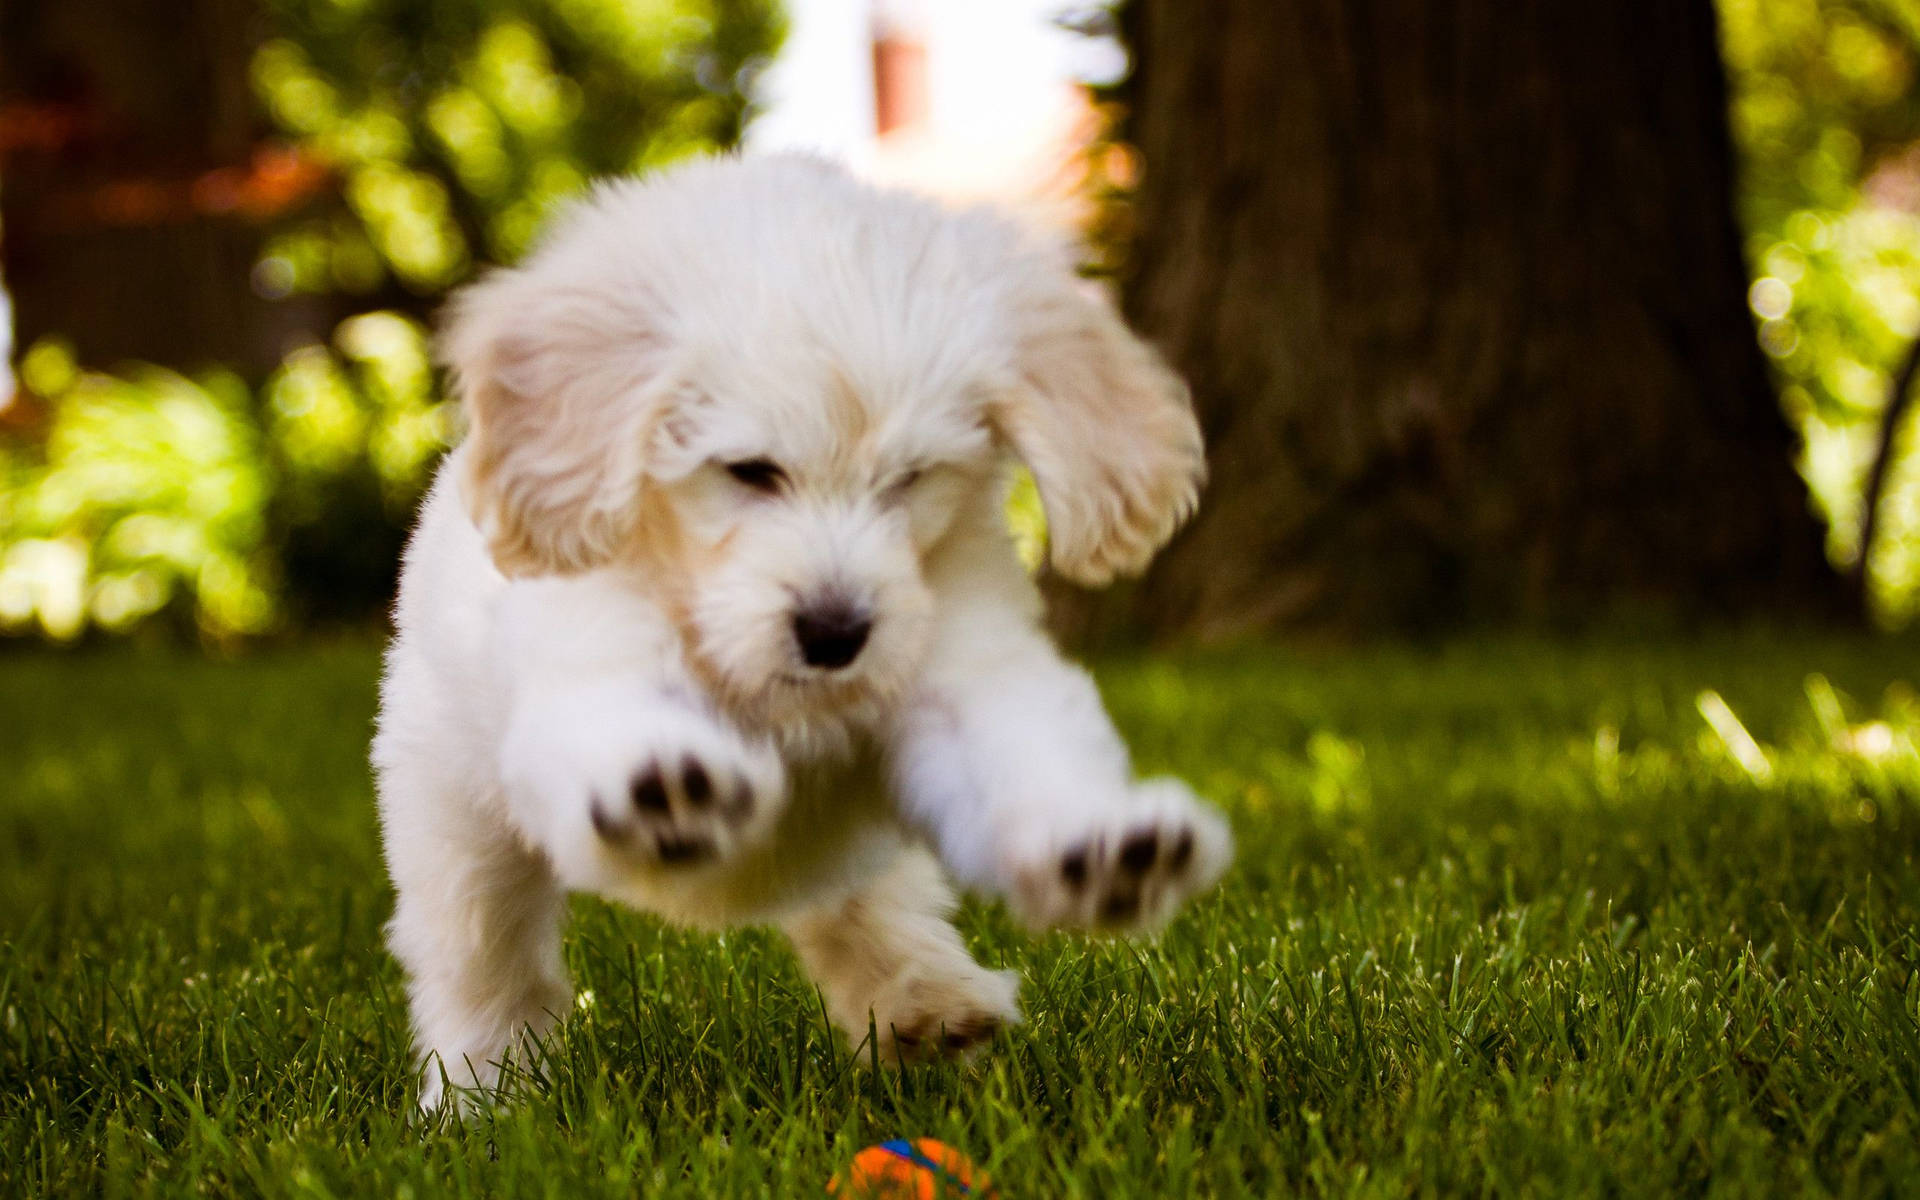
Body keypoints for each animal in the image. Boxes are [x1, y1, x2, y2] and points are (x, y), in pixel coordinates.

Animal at [370, 154, 1228, 1105]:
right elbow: (614, 722)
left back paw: (927, 999)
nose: (835, 633)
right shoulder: (586, 658)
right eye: (750, 471)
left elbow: (1021, 751)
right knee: (483, 960)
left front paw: (1100, 848)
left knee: (866, 912)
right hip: (452, 821)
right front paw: (665, 786)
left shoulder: (963, 661)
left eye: (910, 478)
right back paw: (483, 1095)